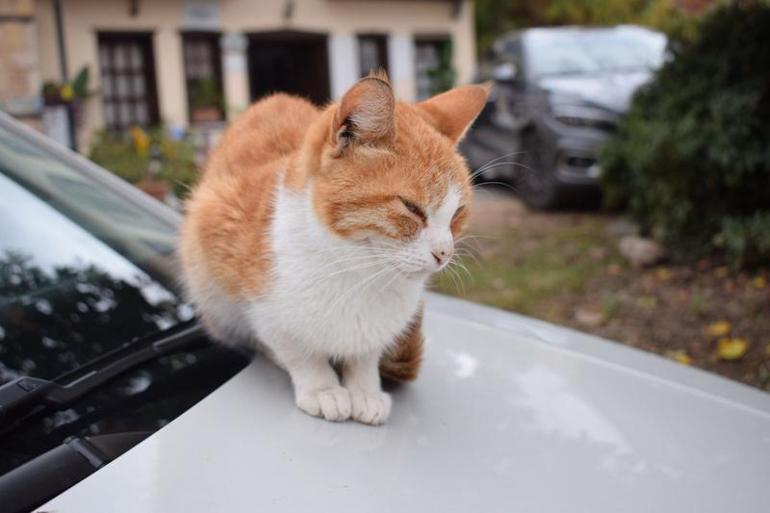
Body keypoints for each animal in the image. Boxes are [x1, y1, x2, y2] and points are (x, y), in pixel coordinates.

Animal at [178, 72, 486, 424]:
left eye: (458, 212)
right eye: (412, 208)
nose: (444, 253)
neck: (357, 271)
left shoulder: (378, 329)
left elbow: (365, 356)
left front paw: (365, 390)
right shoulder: (252, 296)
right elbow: (297, 350)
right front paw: (322, 387)